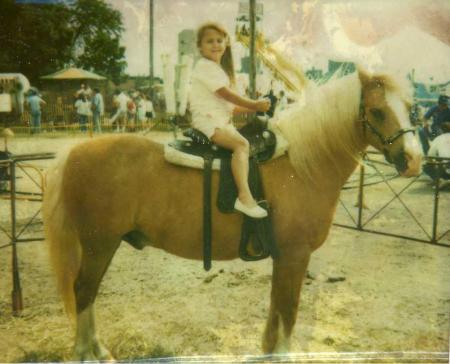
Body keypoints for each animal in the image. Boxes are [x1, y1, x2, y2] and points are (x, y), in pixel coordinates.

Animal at [41, 69, 422, 362]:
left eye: (410, 108)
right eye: (376, 112)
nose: (414, 160)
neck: (301, 164)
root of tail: (74, 151)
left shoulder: (284, 258)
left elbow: (276, 307)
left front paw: (268, 350)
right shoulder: (295, 255)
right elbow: (288, 309)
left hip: (104, 245)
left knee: (87, 294)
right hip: (99, 244)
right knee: (83, 291)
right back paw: (86, 353)